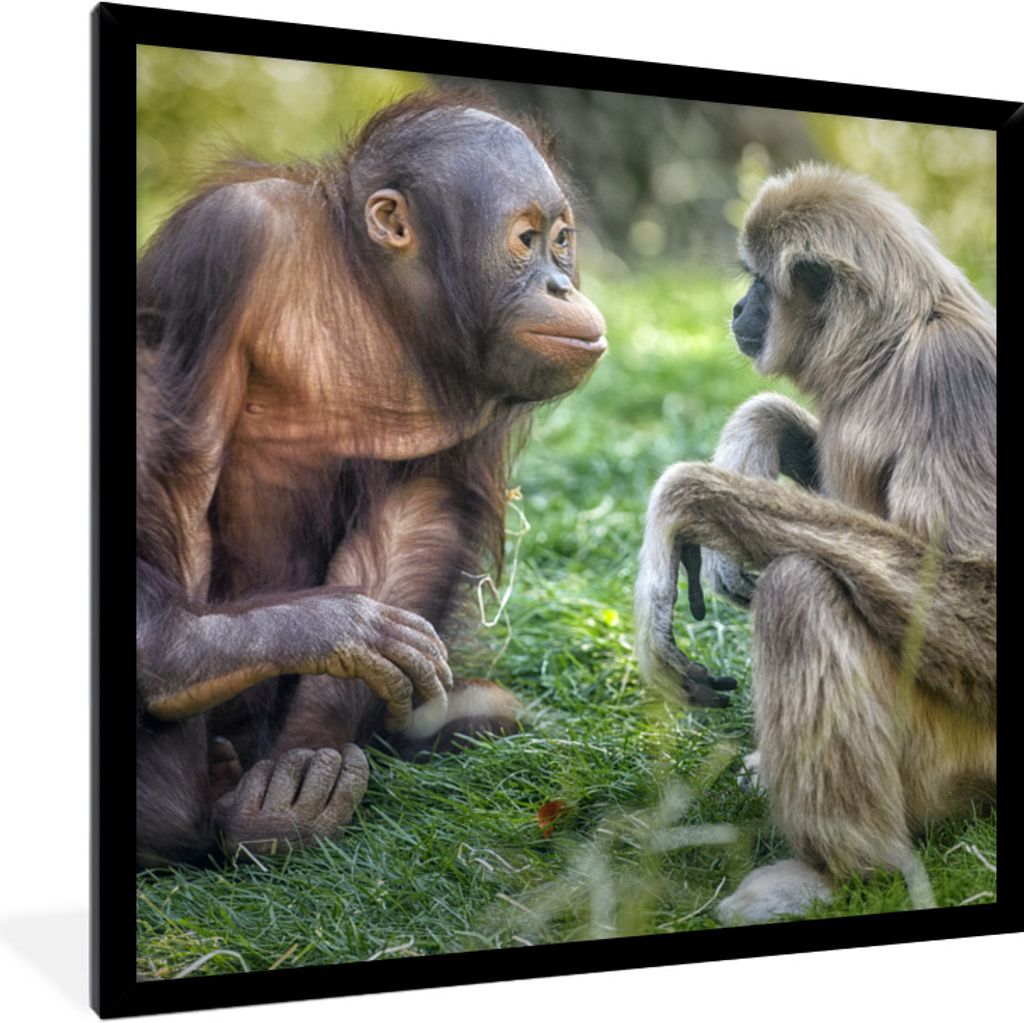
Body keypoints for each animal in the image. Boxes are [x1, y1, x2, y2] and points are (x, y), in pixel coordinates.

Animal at [136, 92, 608, 866]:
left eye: (562, 239)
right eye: (526, 239)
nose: (562, 283)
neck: (372, 296)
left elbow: (419, 511)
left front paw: (301, 767)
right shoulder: (227, 239)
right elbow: (174, 470)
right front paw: (293, 633)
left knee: (491, 708)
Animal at [633, 163, 995, 922]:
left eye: (759, 284)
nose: (738, 307)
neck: (893, 350)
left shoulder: (956, 377)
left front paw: (686, 500)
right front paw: (753, 435)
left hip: (956, 750)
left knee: (800, 587)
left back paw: (846, 871)